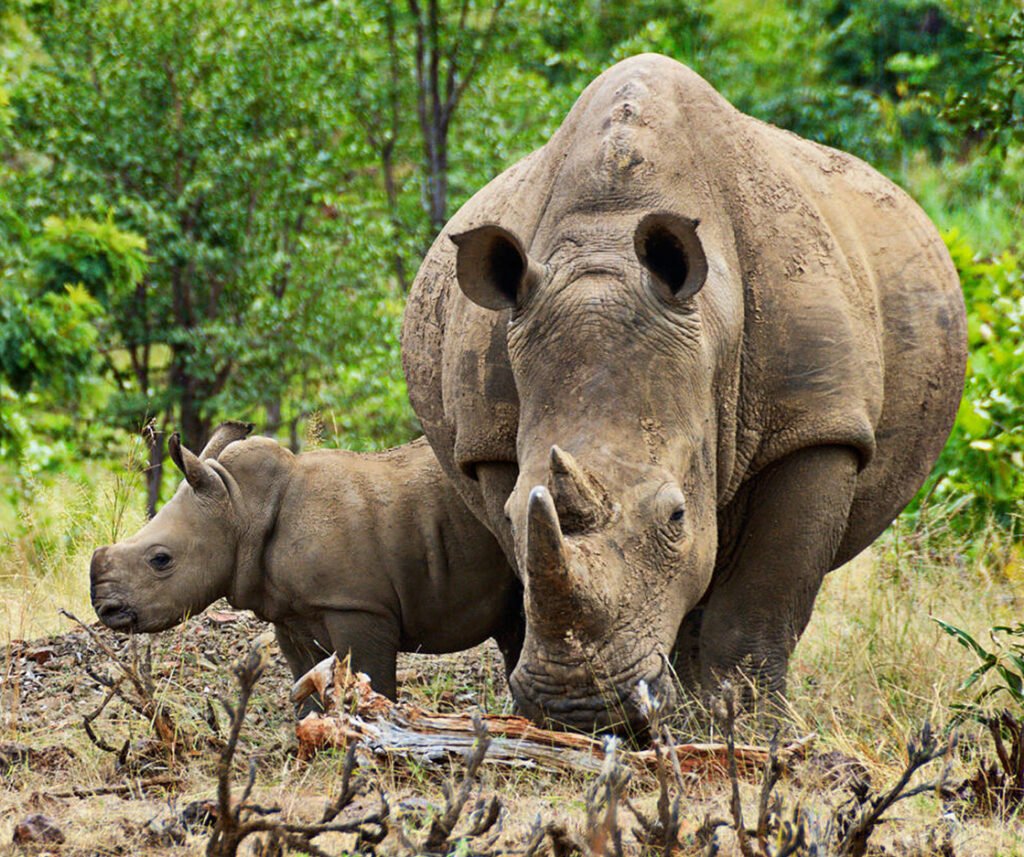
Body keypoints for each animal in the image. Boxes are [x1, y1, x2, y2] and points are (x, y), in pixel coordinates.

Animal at [89, 422, 523, 698]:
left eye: (160, 560)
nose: (104, 608)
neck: (240, 507)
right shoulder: (290, 614)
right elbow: (304, 684)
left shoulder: (357, 605)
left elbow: (370, 680)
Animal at [401, 54, 967, 731]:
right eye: (512, 515)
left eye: (674, 515)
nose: (579, 710)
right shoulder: (485, 438)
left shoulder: (817, 423)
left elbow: (761, 601)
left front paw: (750, 729)